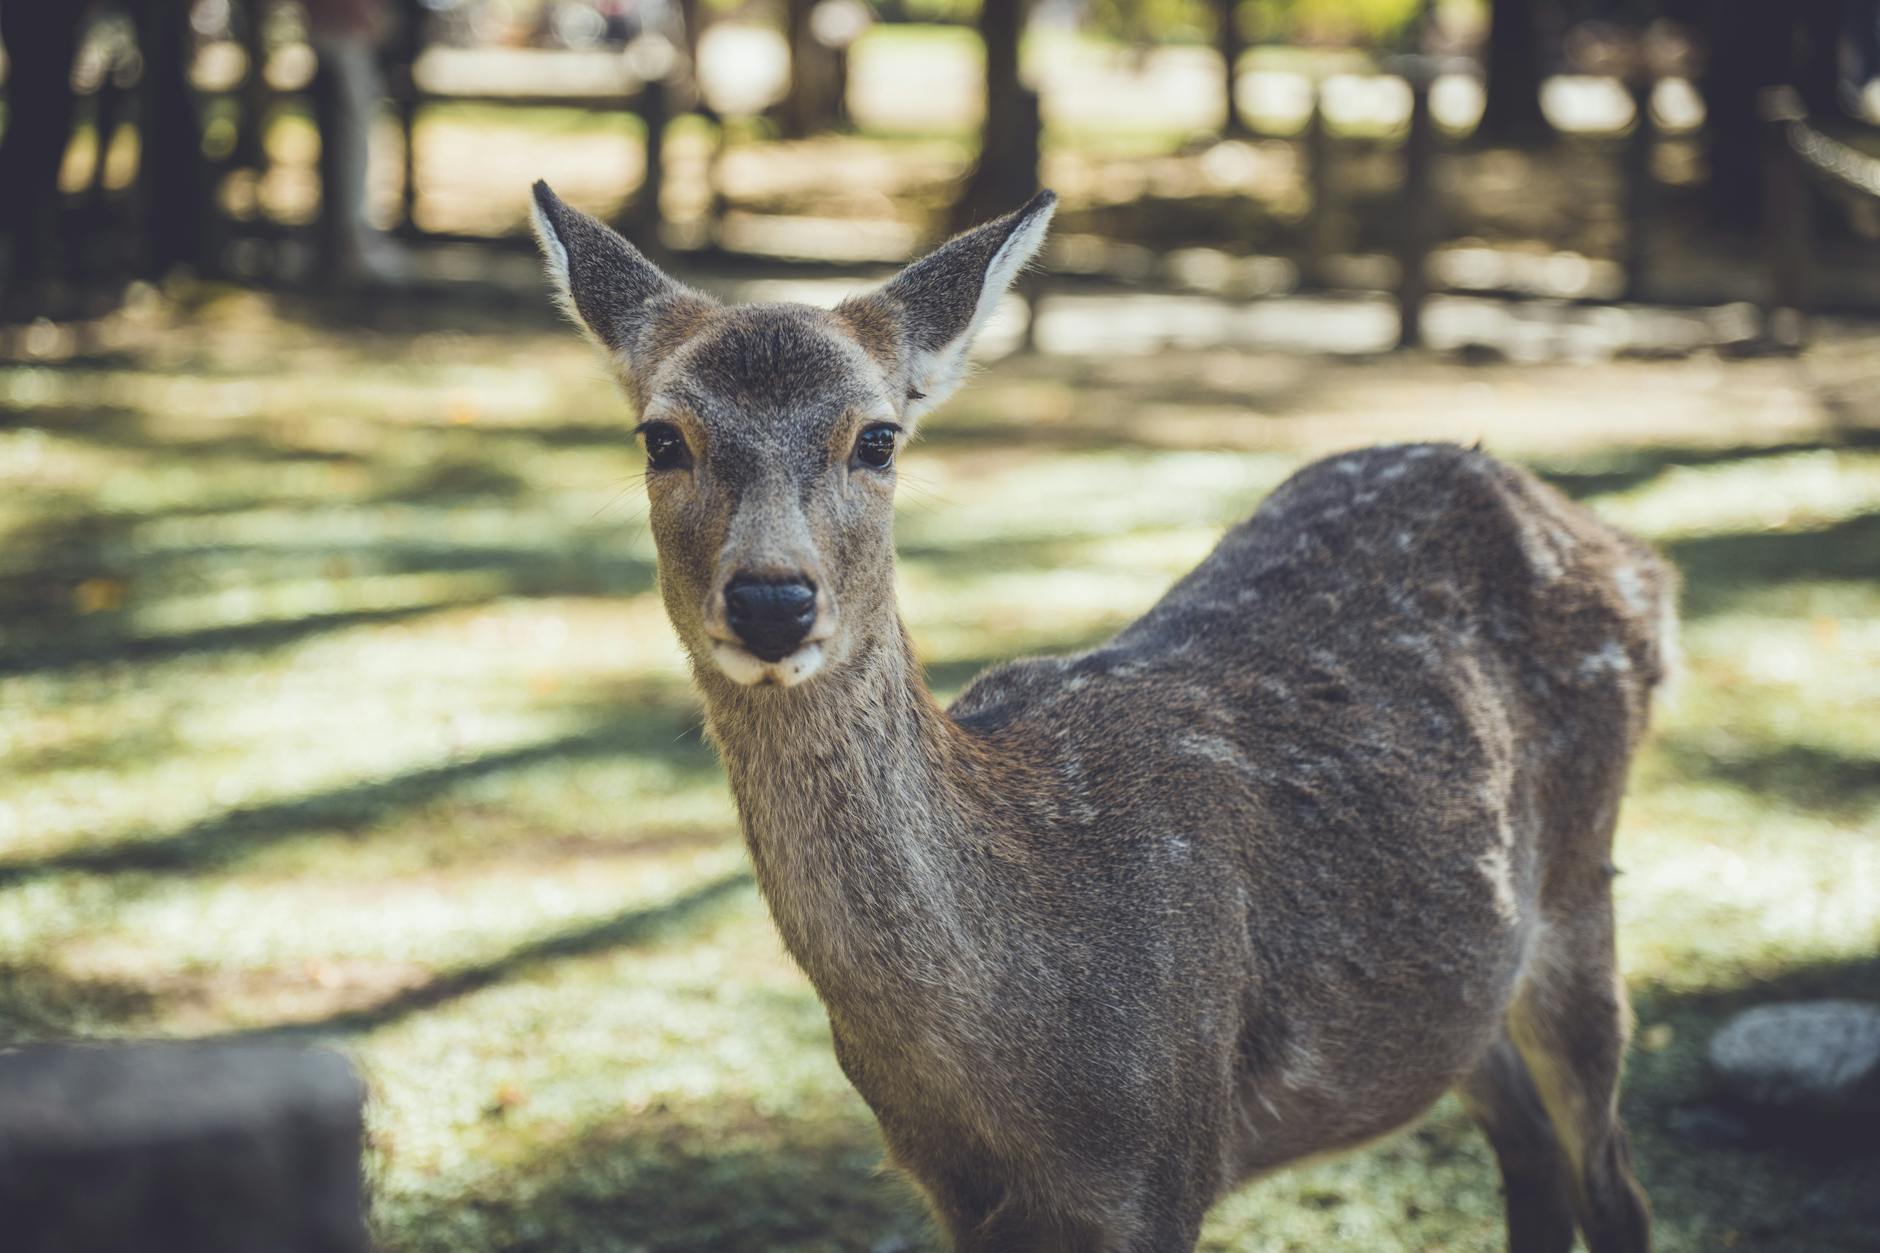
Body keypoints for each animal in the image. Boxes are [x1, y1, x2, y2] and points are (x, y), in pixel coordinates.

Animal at [528, 181, 1672, 1253]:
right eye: (661, 438)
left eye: (878, 438)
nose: (773, 598)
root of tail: (1634, 556)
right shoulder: (954, 1191)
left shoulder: (1165, 1155)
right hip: (1468, 985)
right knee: (1531, 1154)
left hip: (1580, 888)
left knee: (1613, 1181)